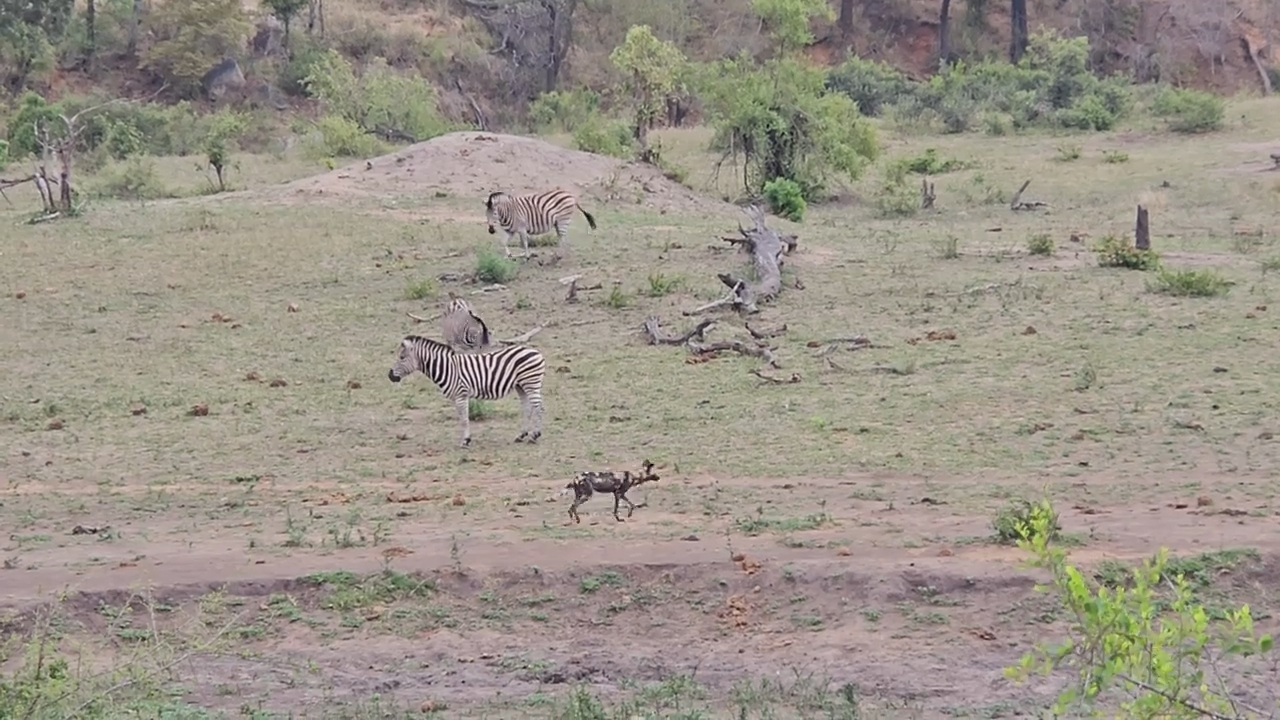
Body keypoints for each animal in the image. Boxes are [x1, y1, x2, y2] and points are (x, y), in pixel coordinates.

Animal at [387, 335, 546, 448]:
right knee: (527, 408)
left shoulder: (461, 394)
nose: (390, 376)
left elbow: (464, 419)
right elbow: (462, 418)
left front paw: (465, 441)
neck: (447, 368)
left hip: (531, 382)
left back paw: (534, 436)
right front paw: (466, 439)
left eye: (401, 357)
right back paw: (521, 435)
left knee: (539, 407)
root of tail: (536, 352)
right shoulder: (456, 397)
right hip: (521, 386)